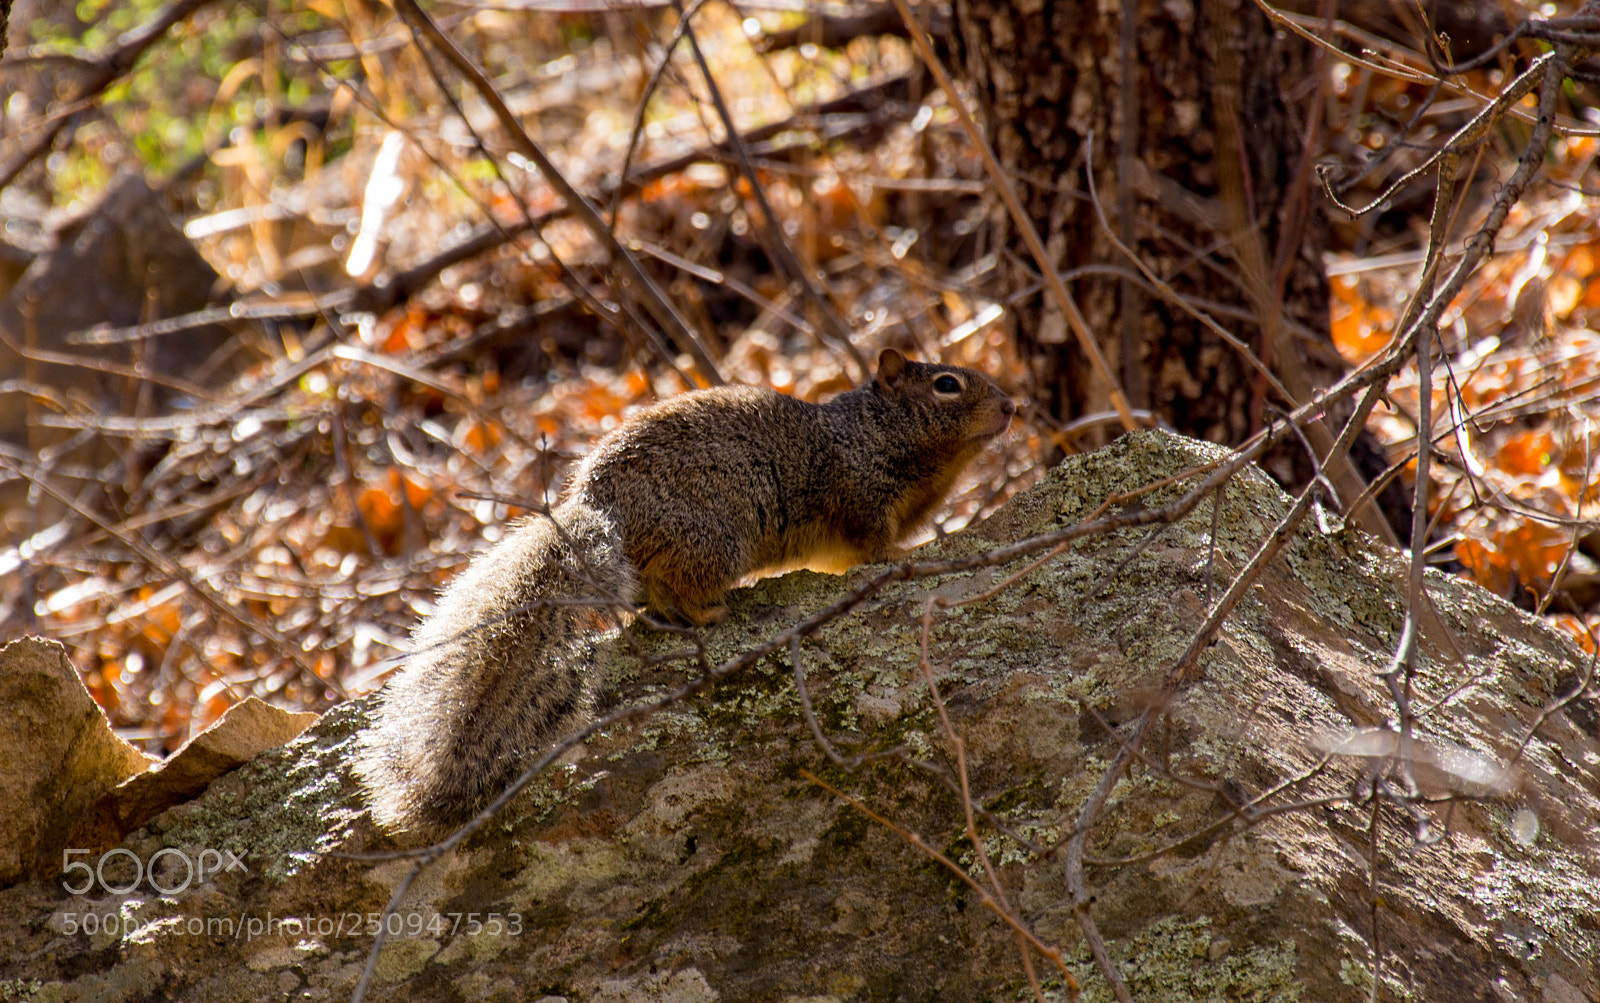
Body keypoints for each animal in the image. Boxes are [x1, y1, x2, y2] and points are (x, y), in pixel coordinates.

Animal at [353, 348, 1016, 833]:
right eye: (948, 385)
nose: (1012, 406)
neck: (874, 434)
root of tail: (596, 506)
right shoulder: (857, 498)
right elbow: (873, 545)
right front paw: (903, 558)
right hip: (712, 537)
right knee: (684, 588)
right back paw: (713, 609)